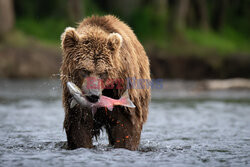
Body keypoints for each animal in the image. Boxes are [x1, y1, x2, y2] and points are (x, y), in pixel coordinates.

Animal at [60, 15, 150, 150]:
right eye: (84, 70)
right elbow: (79, 125)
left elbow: (126, 124)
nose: (93, 95)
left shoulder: (121, 85)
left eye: (103, 72)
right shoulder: (76, 101)